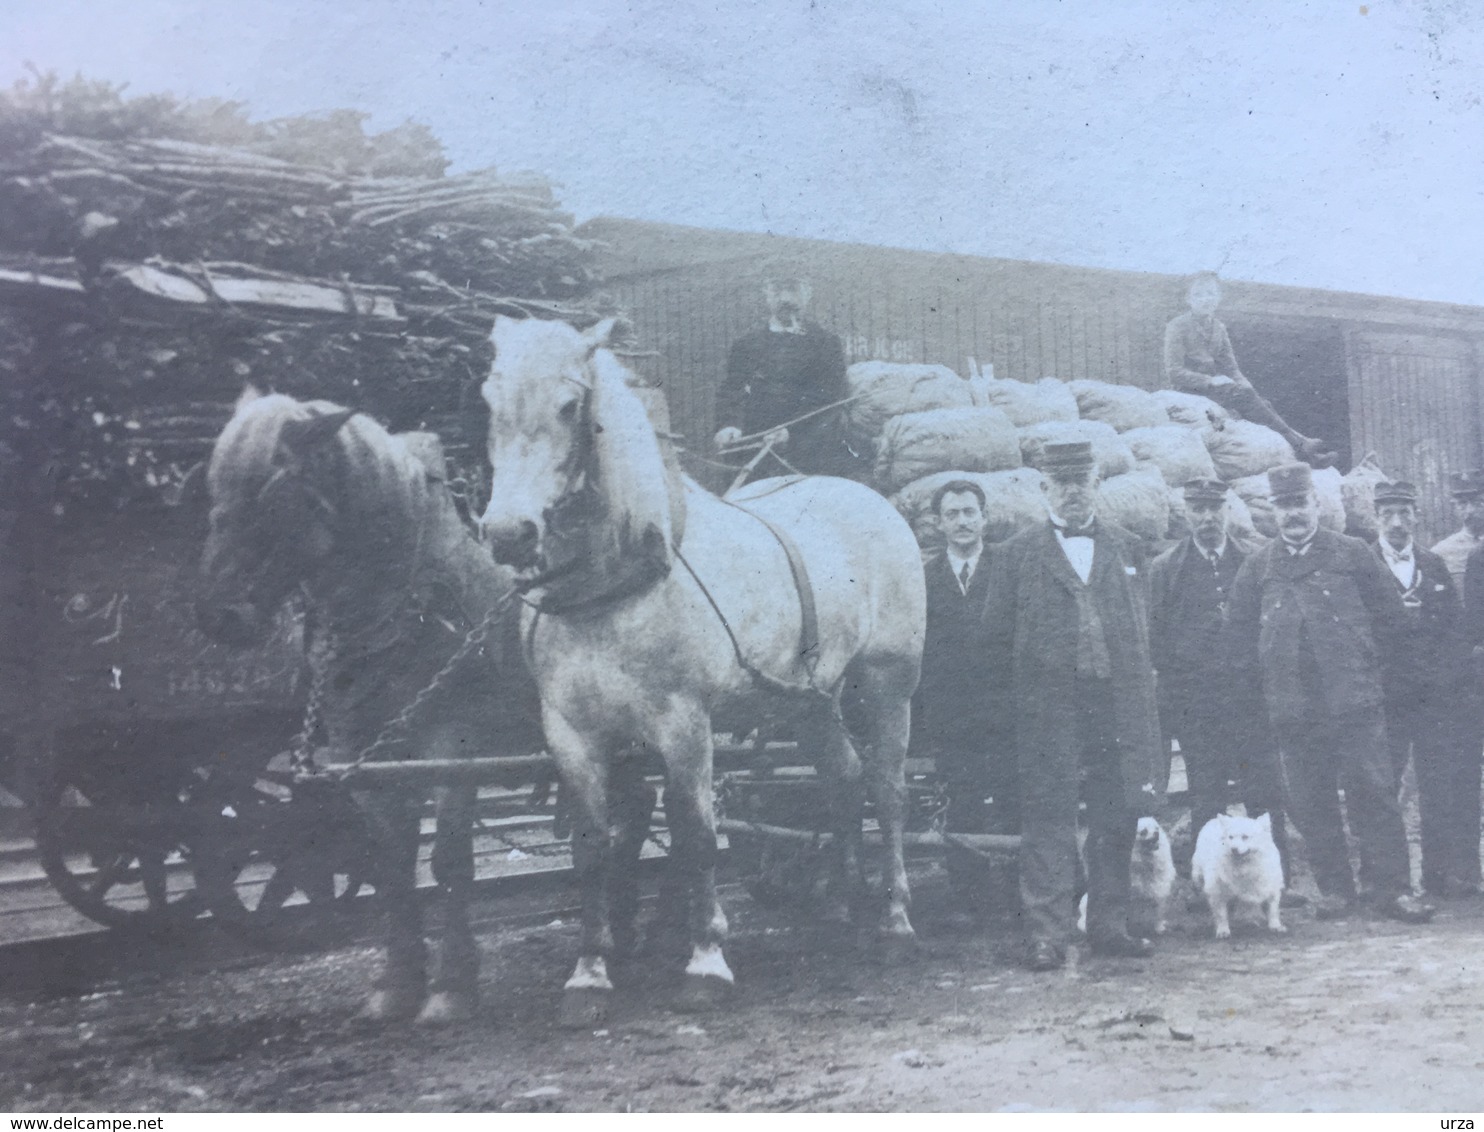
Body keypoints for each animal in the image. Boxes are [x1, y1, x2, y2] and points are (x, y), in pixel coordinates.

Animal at [480, 316, 920, 1026]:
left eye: (570, 406)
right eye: (489, 401)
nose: (506, 533)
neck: (616, 588)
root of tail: (868, 499)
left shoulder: (683, 723)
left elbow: (695, 836)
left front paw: (707, 961)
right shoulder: (572, 732)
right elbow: (592, 847)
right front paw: (589, 973)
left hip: (887, 683)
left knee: (888, 790)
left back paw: (895, 921)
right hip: (811, 700)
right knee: (843, 780)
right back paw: (843, 909)